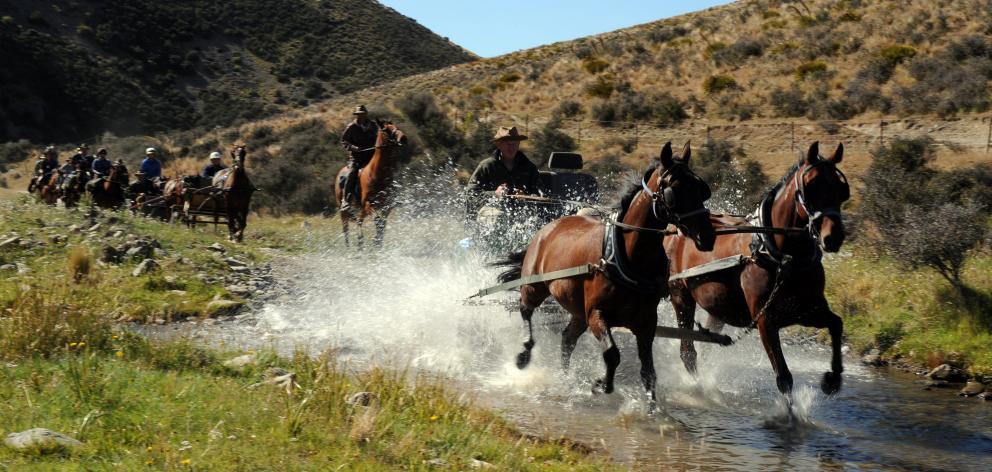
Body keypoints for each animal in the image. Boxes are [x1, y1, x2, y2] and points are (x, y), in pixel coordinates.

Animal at [334, 120, 406, 249]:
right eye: (386, 130)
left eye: (395, 126)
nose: (403, 138)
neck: (378, 174)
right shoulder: (369, 204)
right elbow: (378, 220)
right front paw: (376, 241)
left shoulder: (388, 205)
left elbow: (382, 222)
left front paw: (378, 241)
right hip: (343, 209)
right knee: (346, 229)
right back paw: (349, 247)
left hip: (362, 209)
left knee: (359, 220)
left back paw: (360, 241)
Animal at [494, 142, 712, 404]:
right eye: (674, 191)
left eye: (701, 188)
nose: (708, 236)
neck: (627, 255)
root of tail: (547, 228)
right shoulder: (598, 314)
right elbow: (612, 354)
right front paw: (601, 384)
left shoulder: (646, 322)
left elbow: (648, 372)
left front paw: (652, 407)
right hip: (535, 286)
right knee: (525, 309)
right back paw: (524, 354)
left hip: (577, 309)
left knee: (567, 339)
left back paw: (564, 377)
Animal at [664, 142, 848, 396]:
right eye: (811, 186)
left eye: (841, 189)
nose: (834, 237)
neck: (784, 258)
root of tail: (673, 229)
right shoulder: (766, 322)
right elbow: (784, 378)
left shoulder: (808, 310)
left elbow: (836, 324)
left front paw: (832, 379)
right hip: (680, 296)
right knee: (688, 351)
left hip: (718, 307)